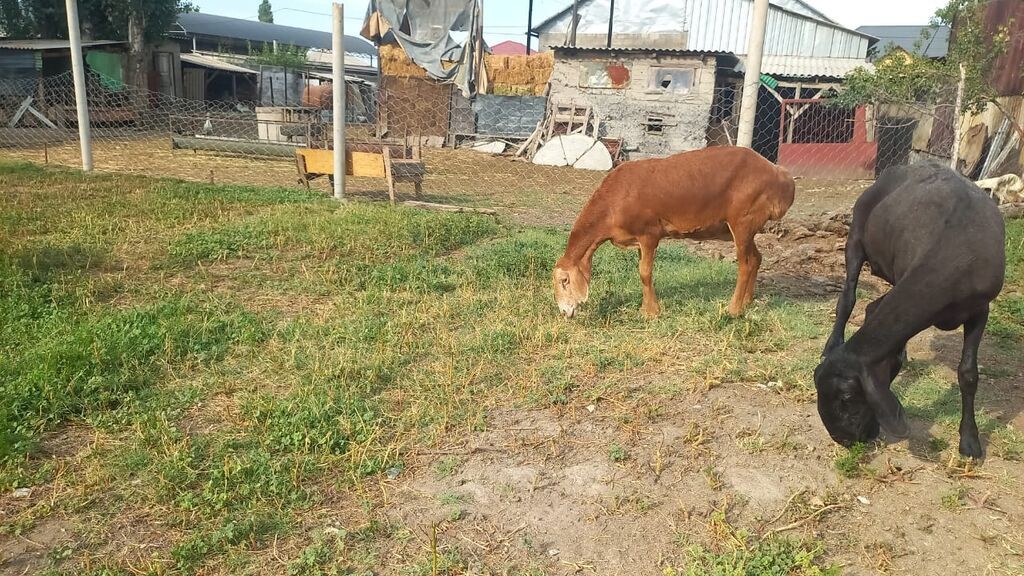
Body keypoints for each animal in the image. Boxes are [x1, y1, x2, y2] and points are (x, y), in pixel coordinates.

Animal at [552, 146, 795, 318]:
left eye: (564, 281)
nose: (565, 312)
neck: (611, 206)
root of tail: (782, 177)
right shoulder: (638, 240)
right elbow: (642, 271)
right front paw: (646, 308)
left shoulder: (649, 233)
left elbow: (645, 272)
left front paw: (651, 312)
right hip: (747, 225)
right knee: (756, 258)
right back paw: (747, 302)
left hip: (743, 220)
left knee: (745, 264)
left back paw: (733, 310)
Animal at [816, 161, 1005, 458]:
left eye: (846, 397)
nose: (843, 440)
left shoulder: (980, 309)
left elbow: (968, 373)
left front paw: (970, 441)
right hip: (856, 238)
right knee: (847, 298)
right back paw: (832, 343)